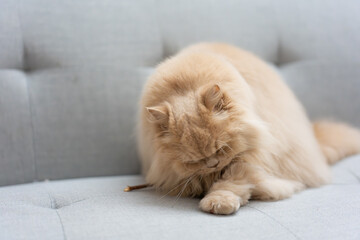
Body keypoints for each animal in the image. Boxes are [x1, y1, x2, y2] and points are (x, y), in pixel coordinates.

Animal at [136, 42, 358, 215]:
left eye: (221, 148)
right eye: (193, 161)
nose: (213, 164)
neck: (184, 84)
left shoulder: (250, 157)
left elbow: (234, 180)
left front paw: (218, 201)